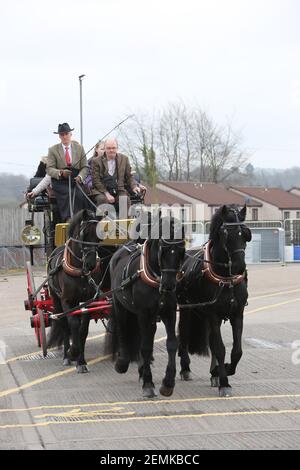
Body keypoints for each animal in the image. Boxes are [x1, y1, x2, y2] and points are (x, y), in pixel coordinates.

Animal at [47, 211, 112, 372]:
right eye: (84, 234)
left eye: (99, 237)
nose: (91, 264)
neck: (80, 272)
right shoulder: (67, 301)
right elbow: (73, 325)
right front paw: (73, 352)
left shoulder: (88, 302)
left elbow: (83, 330)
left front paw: (81, 361)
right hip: (56, 300)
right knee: (64, 325)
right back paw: (66, 355)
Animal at [108, 215, 185, 398]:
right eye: (163, 249)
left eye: (181, 251)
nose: (169, 285)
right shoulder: (144, 313)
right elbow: (145, 346)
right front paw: (148, 384)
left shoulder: (168, 312)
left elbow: (171, 343)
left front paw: (168, 383)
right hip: (120, 306)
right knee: (123, 328)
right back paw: (123, 363)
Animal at [177, 205, 252, 396]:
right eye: (225, 233)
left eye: (245, 233)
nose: (239, 266)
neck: (226, 278)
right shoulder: (213, 314)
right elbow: (219, 348)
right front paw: (225, 382)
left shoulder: (237, 314)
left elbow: (236, 351)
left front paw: (222, 370)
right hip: (186, 308)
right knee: (183, 335)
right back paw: (185, 368)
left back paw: (214, 373)